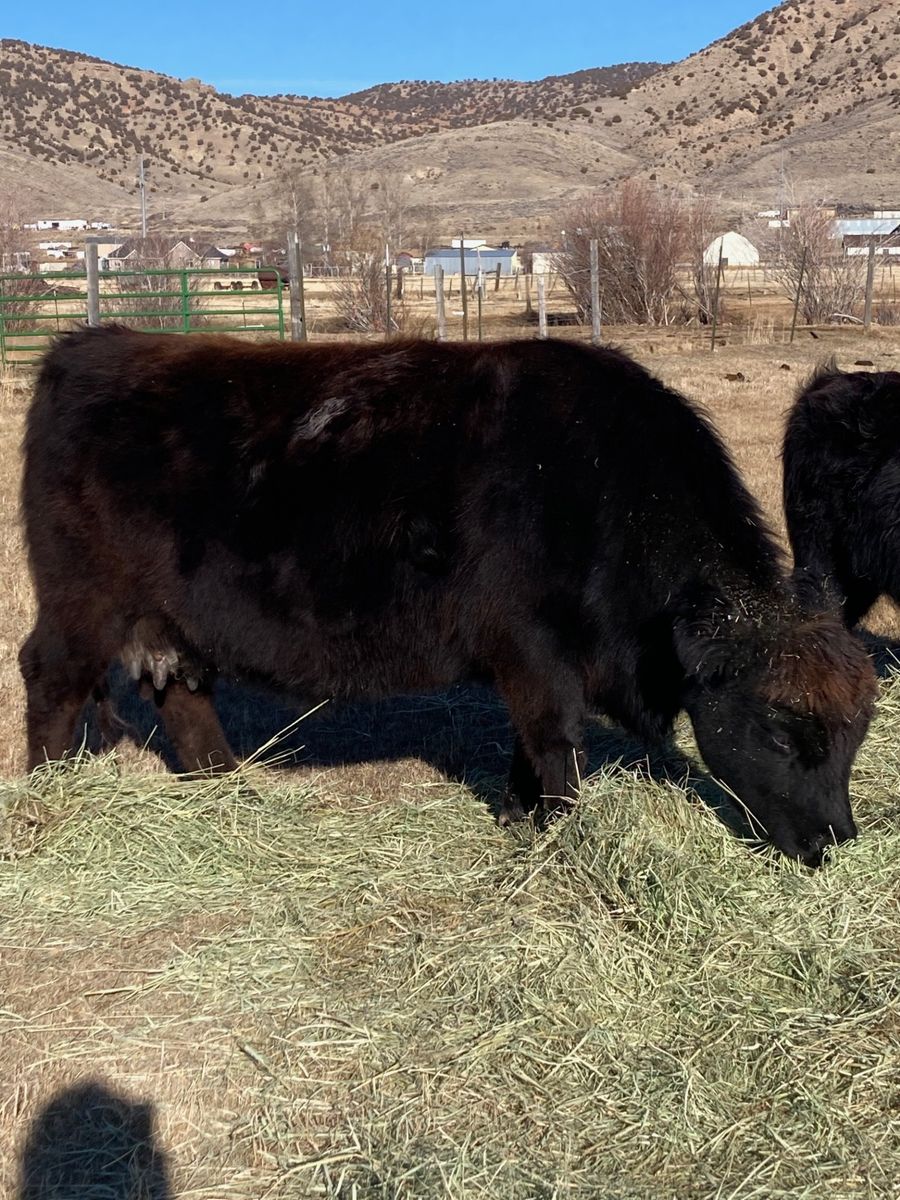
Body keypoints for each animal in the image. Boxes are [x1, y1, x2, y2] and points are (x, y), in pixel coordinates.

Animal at [20, 327, 877, 867]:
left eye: (856, 736)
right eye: (779, 729)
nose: (835, 841)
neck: (594, 481)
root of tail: (92, 345)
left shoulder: (539, 662)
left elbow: (530, 746)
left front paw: (519, 813)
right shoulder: (534, 651)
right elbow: (558, 742)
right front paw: (564, 835)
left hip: (173, 622)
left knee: (183, 694)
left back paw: (229, 792)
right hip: (81, 606)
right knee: (50, 680)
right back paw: (47, 798)